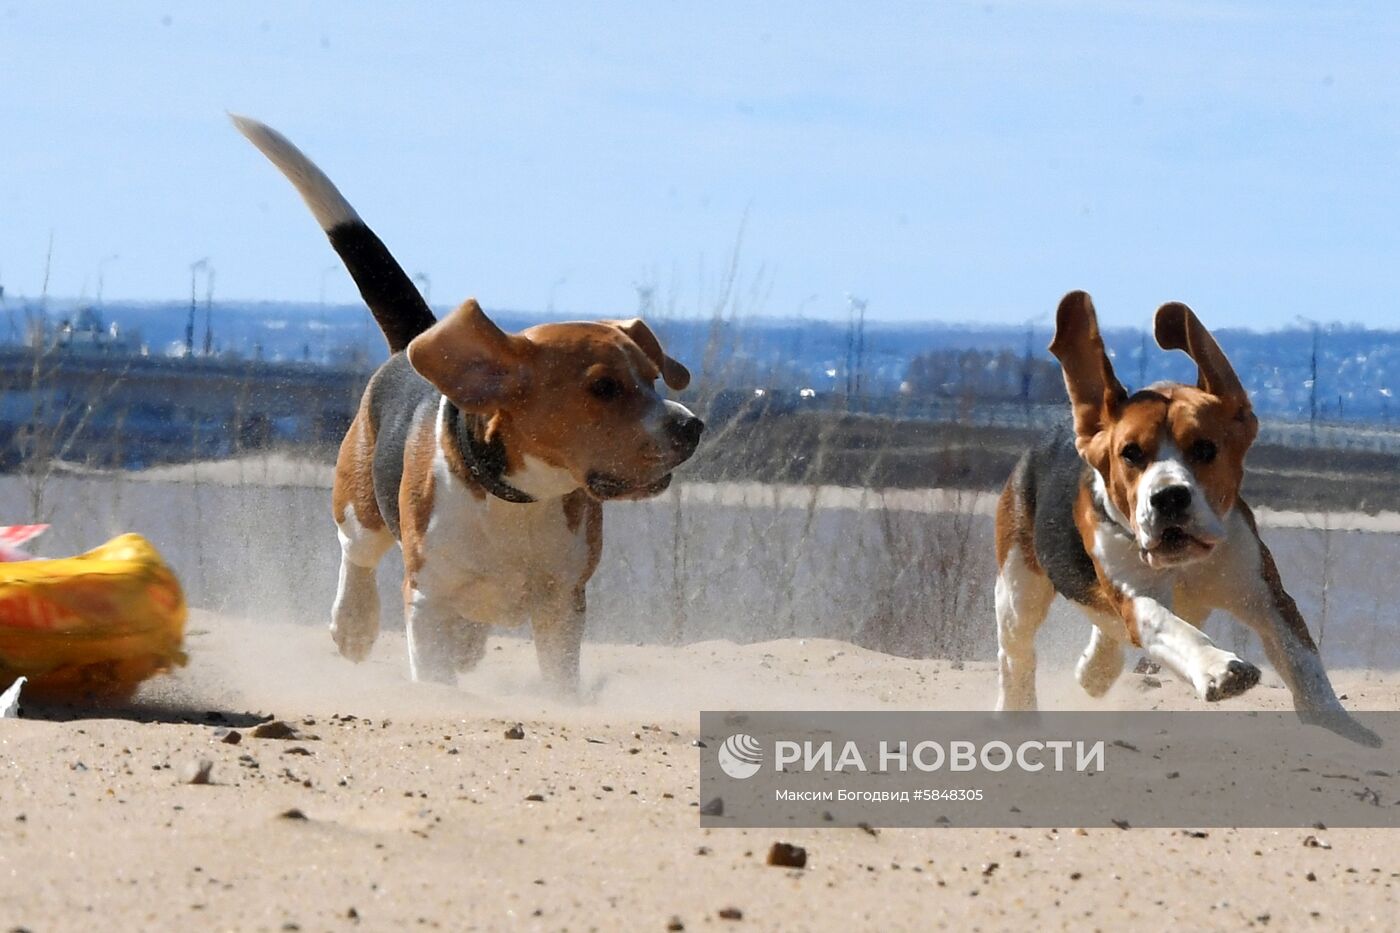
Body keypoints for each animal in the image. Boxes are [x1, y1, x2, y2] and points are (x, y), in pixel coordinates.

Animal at [236, 118, 711, 689]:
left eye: (653, 378)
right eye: (603, 388)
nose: (692, 427)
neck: (520, 498)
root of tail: (413, 344)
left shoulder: (562, 604)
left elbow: (560, 681)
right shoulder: (428, 599)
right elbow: (434, 670)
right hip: (360, 504)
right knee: (358, 555)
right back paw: (354, 624)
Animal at [996, 291, 1377, 739]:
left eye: (1205, 448)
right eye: (1131, 453)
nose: (1169, 498)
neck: (1186, 564)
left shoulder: (1263, 593)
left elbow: (1302, 658)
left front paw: (1336, 721)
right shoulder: (1137, 594)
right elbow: (1173, 629)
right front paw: (1220, 669)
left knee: (1105, 635)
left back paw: (1095, 672)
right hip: (1018, 586)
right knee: (1016, 655)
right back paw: (1017, 716)